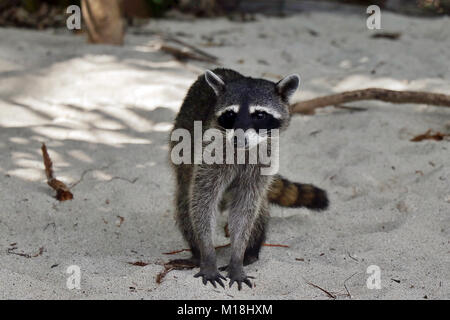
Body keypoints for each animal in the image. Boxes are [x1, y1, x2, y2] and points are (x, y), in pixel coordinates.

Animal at [168, 68, 326, 290]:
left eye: (259, 114)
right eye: (230, 114)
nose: (238, 138)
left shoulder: (263, 161)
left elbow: (245, 208)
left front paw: (238, 256)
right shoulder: (211, 153)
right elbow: (203, 202)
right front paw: (208, 255)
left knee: (259, 210)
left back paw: (251, 251)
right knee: (185, 200)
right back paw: (197, 252)